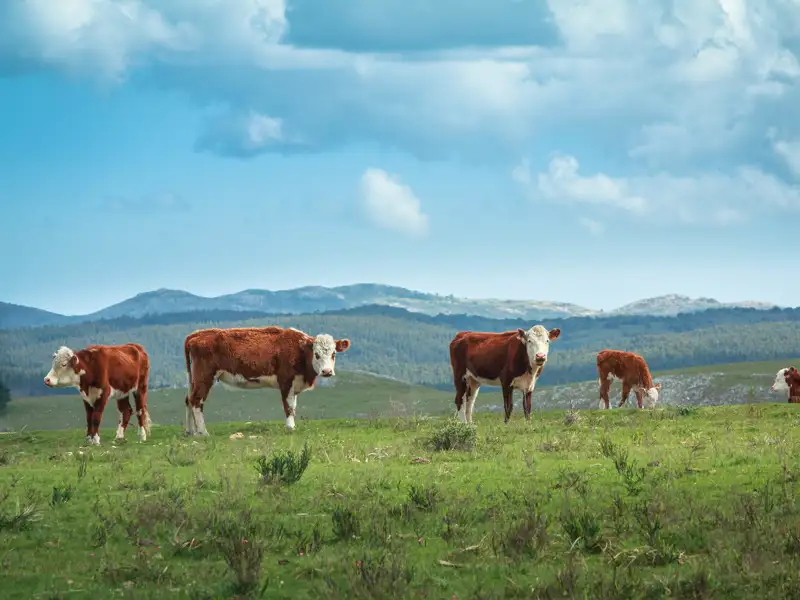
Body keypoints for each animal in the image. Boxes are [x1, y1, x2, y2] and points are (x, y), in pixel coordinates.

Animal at [182, 326, 351, 435]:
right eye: (316, 354)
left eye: (334, 354)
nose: (327, 371)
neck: (299, 351)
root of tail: (196, 335)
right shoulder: (286, 381)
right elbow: (289, 406)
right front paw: (290, 428)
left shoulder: (294, 384)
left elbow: (294, 406)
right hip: (204, 376)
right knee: (196, 400)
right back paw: (203, 432)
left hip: (193, 378)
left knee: (188, 399)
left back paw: (190, 431)